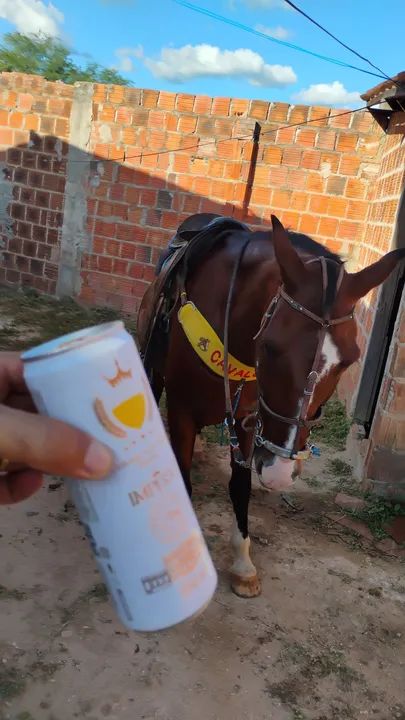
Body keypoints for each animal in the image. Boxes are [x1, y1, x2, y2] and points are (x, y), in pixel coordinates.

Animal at [137, 212, 405, 598]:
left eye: (349, 360)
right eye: (269, 346)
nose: (280, 473)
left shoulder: (250, 419)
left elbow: (240, 485)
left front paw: (242, 563)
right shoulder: (182, 410)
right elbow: (183, 479)